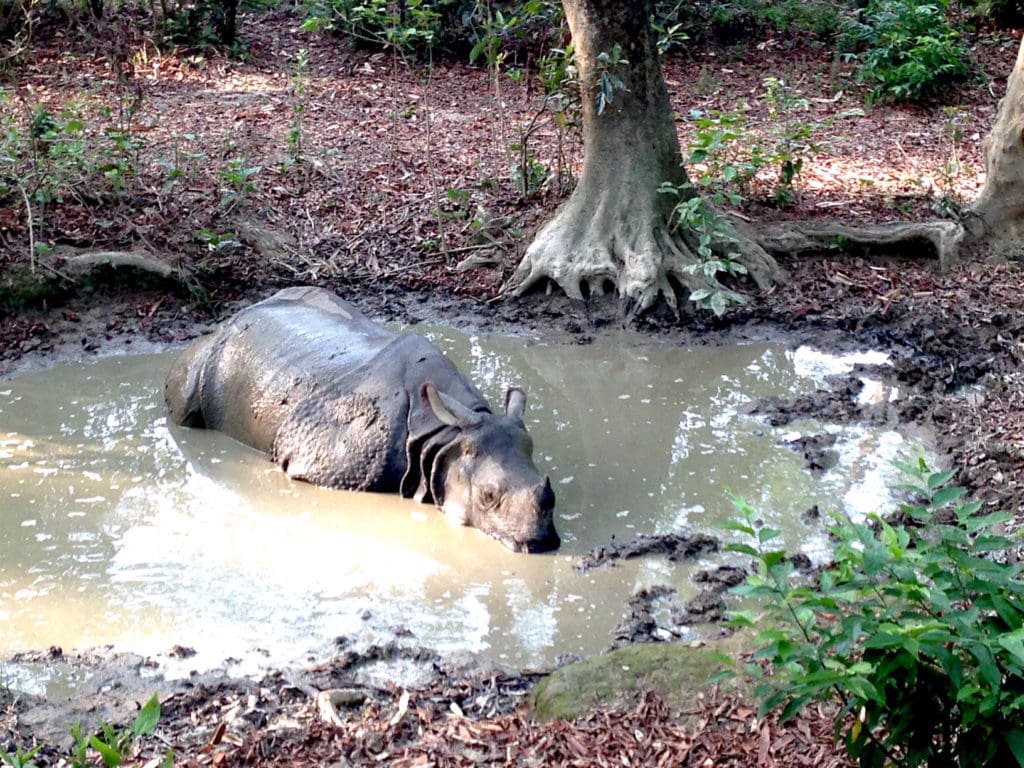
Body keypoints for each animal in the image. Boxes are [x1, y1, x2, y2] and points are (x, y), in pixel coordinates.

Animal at [164, 286, 561, 552]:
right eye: (488, 496)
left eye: (550, 487)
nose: (541, 544)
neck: (444, 434)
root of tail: (232, 317)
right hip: (209, 353)